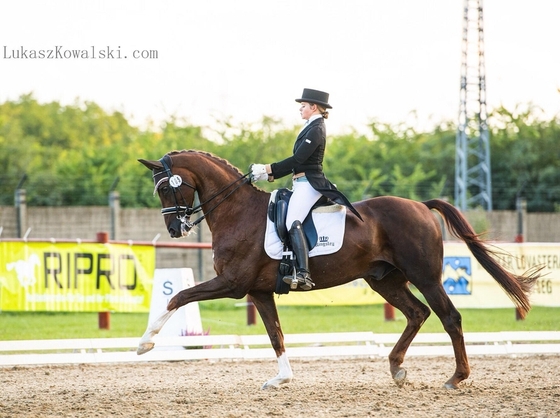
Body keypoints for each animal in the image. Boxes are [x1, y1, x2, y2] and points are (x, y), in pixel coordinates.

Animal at [136, 149, 540, 388]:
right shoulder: (259, 291)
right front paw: (282, 379)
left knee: (449, 317)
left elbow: (178, 297)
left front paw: (145, 342)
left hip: (425, 277)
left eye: (166, 188)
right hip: (384, 281)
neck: (238, 212)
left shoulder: (232, 283)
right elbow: (275, 334)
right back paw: (396, 368)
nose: (175, 230)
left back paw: (457, 377)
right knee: (417, 314)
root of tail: (421, 206)